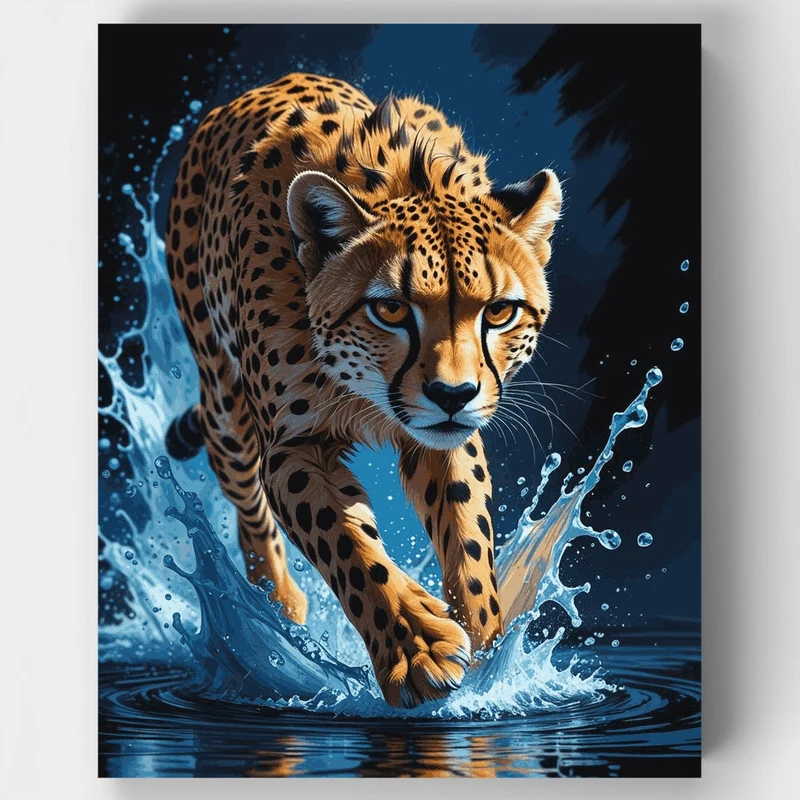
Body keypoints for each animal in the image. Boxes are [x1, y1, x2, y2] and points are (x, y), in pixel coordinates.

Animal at [164, 72, 562, 707]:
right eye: (391, 308)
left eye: (498, 312)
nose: (453, 394)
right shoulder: (293, 447)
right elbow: (348, 546)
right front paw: (418, 650)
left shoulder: (444, 437)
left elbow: (469, 539)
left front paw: (488, 653)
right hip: (226, 408)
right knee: (247, 504)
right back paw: (277, 605)